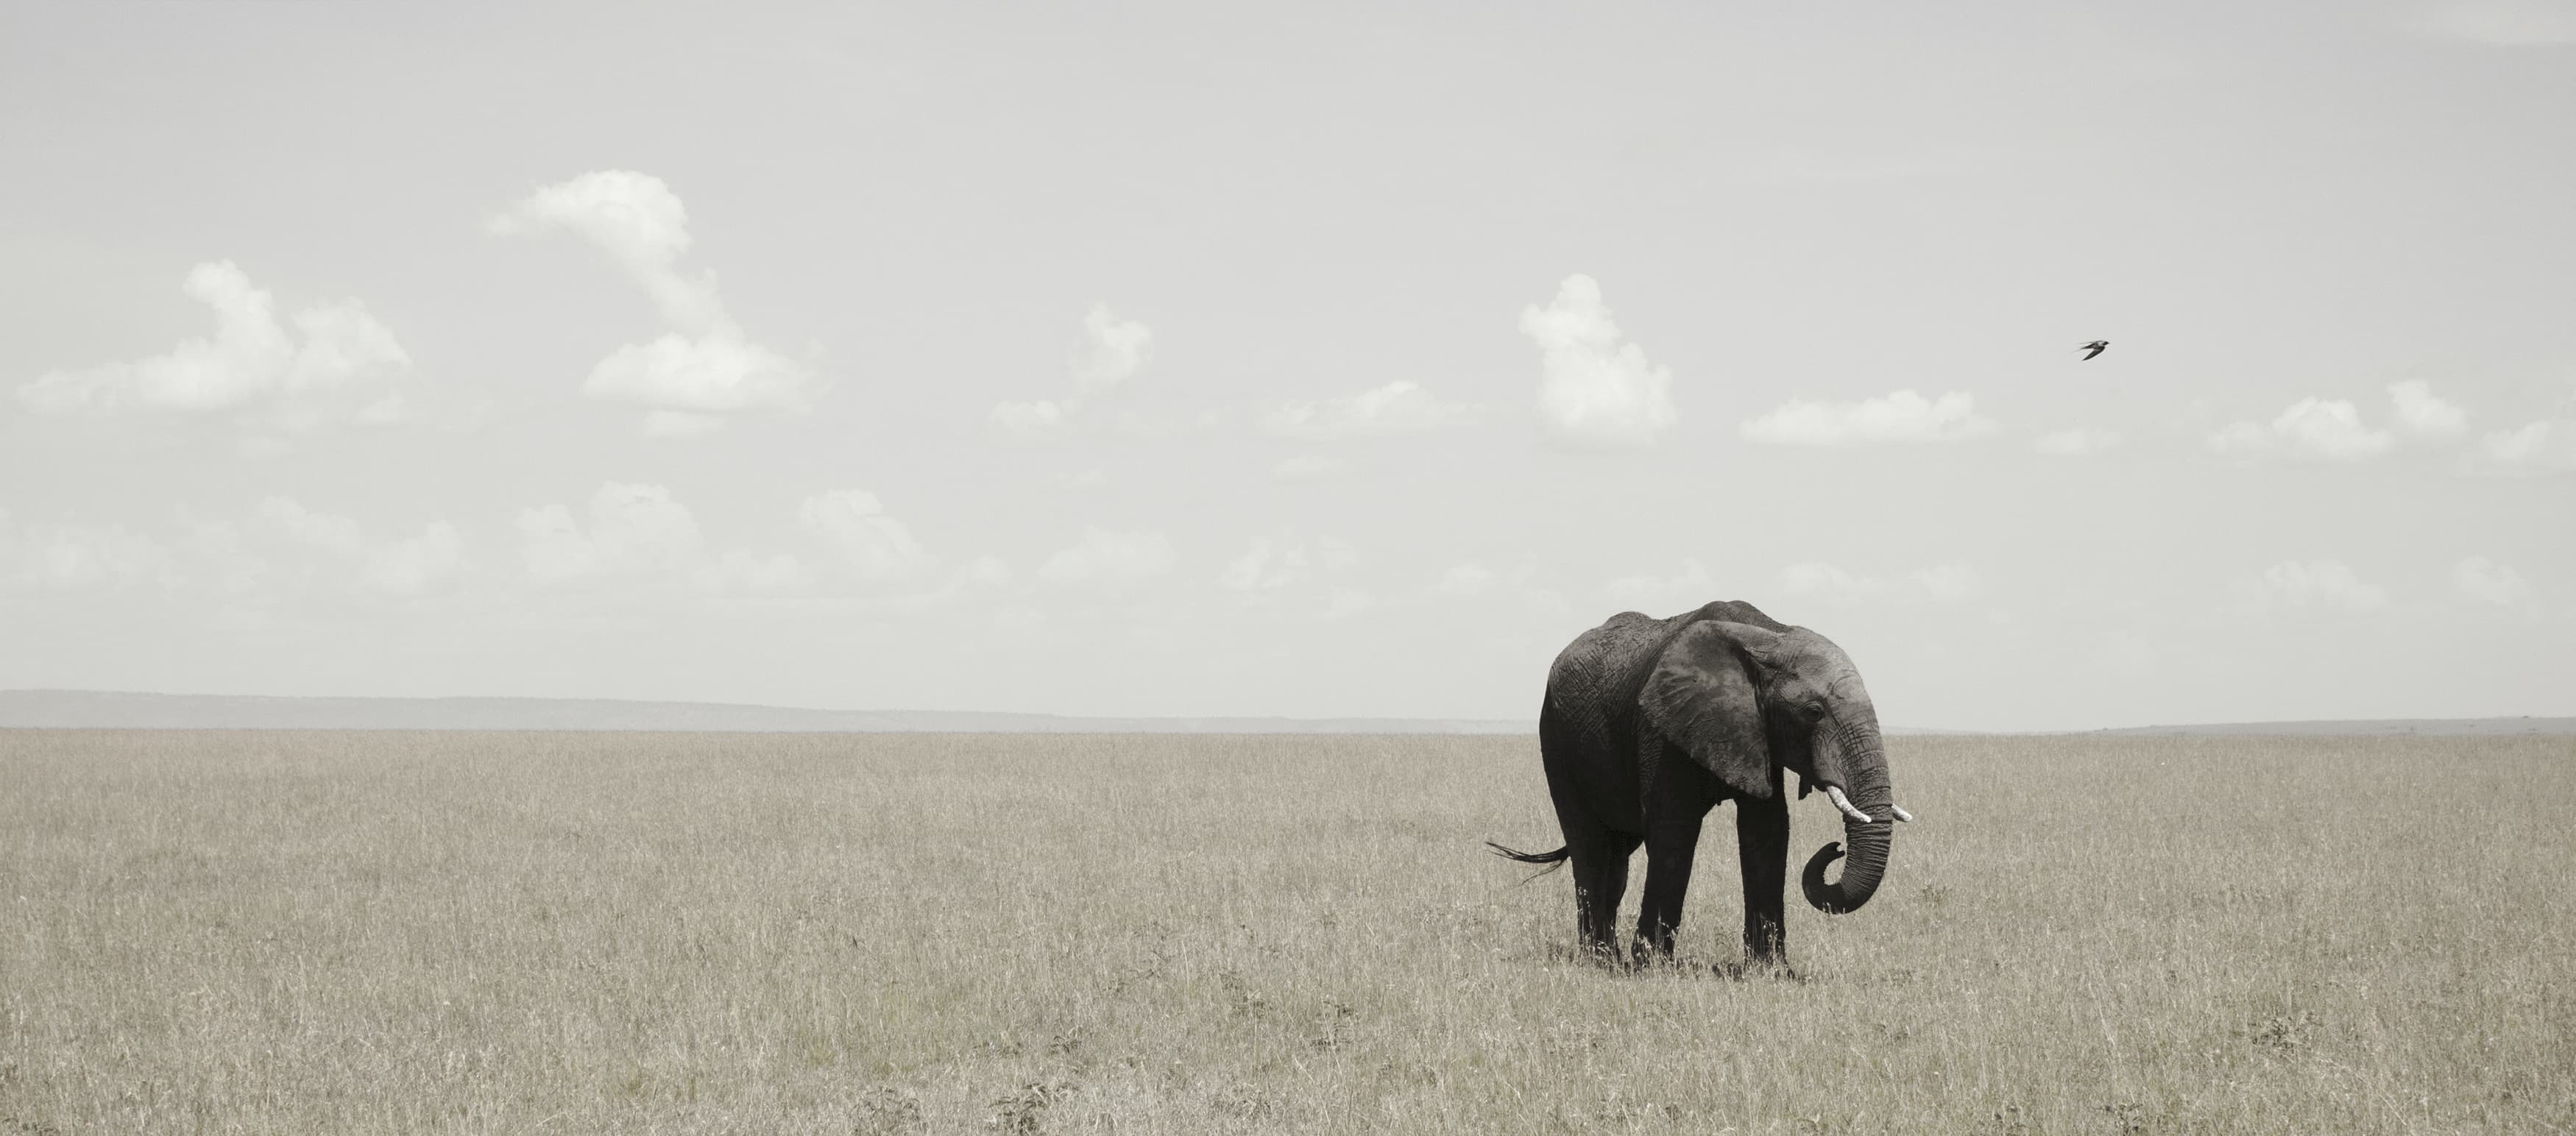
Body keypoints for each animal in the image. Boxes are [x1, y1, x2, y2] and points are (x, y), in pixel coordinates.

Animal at [1489, 599, 1912, 967]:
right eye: (1813, 712)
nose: (1836, 848)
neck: (1768, 637)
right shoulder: (1662, 727)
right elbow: (1674, 830)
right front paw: (1652, 967)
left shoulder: (1758, 733)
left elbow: (1767, 830)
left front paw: (1772, 972)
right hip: (1555, 738)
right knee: (1589, 845)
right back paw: (1601, 961)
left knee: (1618, 853)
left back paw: (1611, 957)